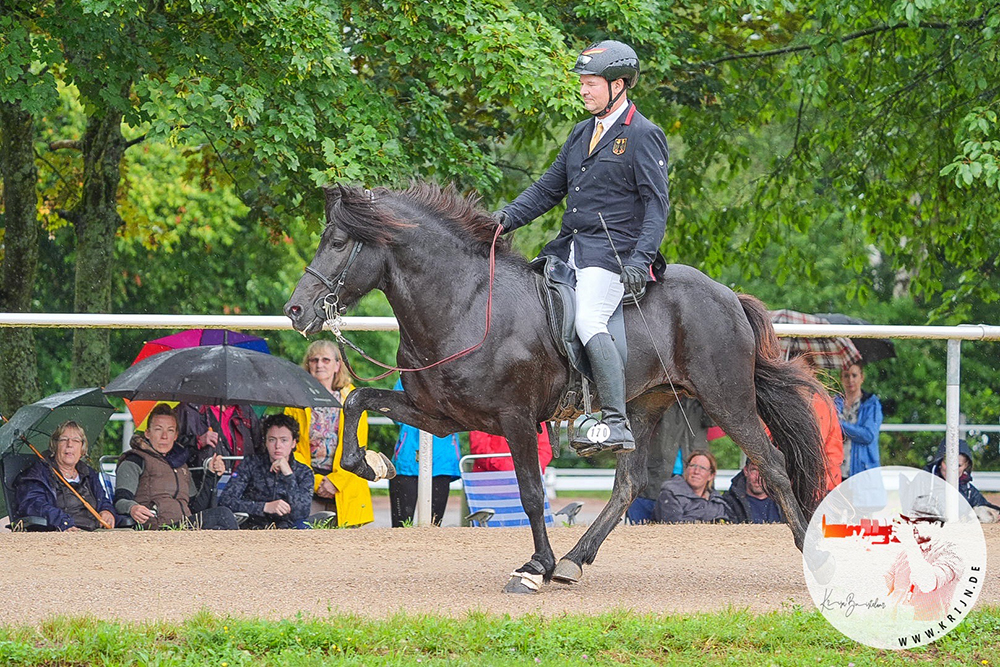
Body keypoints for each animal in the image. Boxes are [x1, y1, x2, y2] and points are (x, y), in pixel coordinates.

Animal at [286, 183, 824, 596]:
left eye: (338, 242)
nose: (296, 311)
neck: (464, 303)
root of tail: (727, 295)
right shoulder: (437, 416)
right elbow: (357, 400)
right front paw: (369, 464)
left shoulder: (517, 419)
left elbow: (529, 493)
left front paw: (533, 567)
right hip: (641, 407)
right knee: (628, 486)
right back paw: (574, 559)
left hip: (727, 400)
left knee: (773, 466)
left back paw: (809, 554)